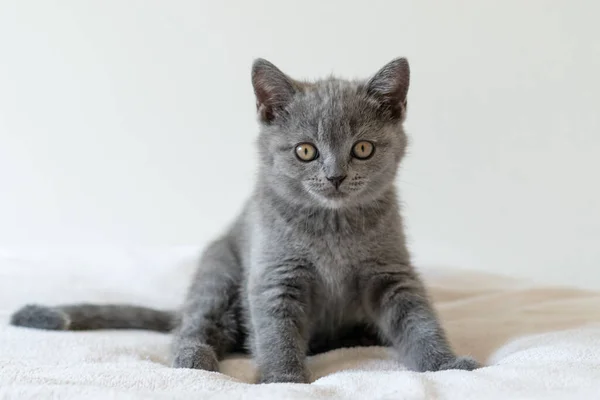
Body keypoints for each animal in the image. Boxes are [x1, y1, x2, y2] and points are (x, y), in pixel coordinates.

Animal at [9, 57, 480, 382]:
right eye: (305, 150)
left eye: (362, 149)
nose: (335, 176)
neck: (332, 228)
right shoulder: (273, 274)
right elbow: (275, 329)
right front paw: (285, 379)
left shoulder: (391, 274)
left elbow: (418, 320)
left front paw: (446, 364)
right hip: (219, 271)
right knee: (195, 324)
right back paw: (194, 359)